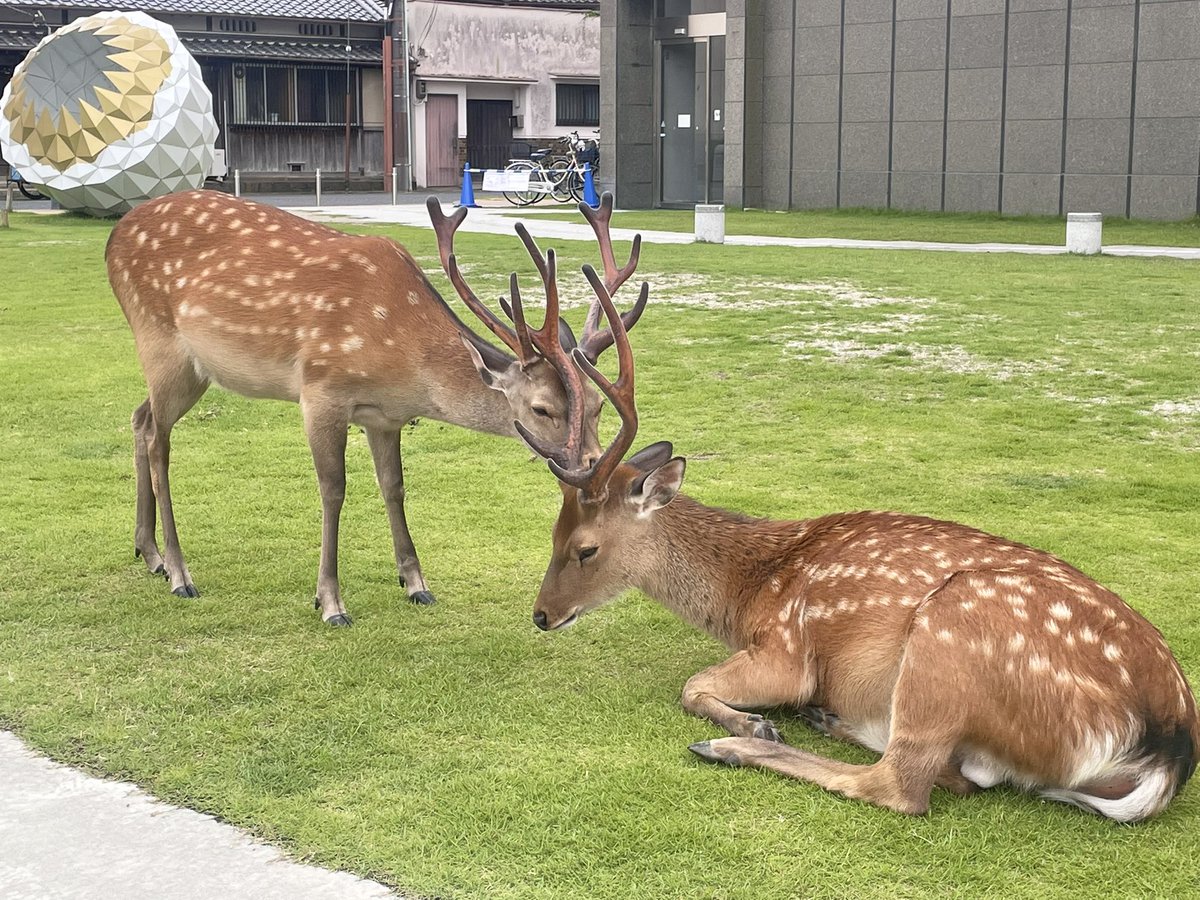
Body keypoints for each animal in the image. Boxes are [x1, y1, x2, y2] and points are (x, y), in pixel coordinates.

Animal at [105, 190, 648, 628]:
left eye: (596, 404)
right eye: (541, 409)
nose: (593, 470)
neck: (404, 367)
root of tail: (114, 237)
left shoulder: (383, 416)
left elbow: (394, 486)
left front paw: (416, 583)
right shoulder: (320, 391)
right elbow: (333, 490)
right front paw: (330, 603)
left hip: (191, 371)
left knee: (139, 417)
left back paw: (148, 553)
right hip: (161, 343)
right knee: (158, 441)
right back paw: (179, 572)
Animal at [530, 271, 1195, 820]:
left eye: (585, 548)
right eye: (553, 532)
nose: (541, 615)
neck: (746, 593)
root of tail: (1171, 745)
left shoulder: (787, 649)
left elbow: (692, 686)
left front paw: (753, 722)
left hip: (952, 634)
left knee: (904, 785)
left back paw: (733, 744)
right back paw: (824, 719)